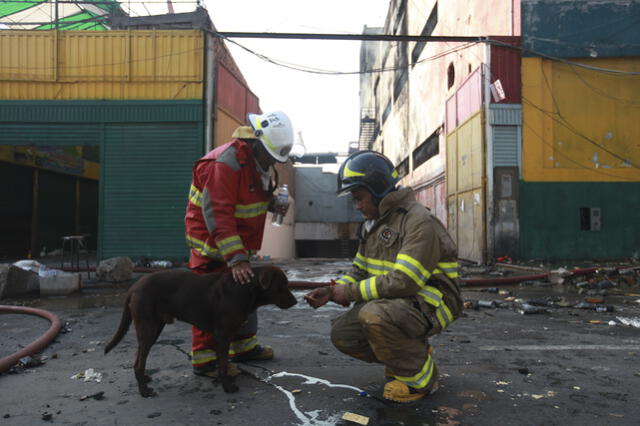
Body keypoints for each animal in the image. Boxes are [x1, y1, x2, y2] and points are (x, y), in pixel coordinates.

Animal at [104, 266, 296, 396]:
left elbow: (222, 361)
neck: (244, 288)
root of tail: (134, 287)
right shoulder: (222, 334)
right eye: (282, 285)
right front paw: (227, 387)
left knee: (139, 359)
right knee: (138, 362)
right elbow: (223, 364)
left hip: (155, 327)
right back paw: (144, 391)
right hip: (149, 328)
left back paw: (144, 379)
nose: (295, 301)